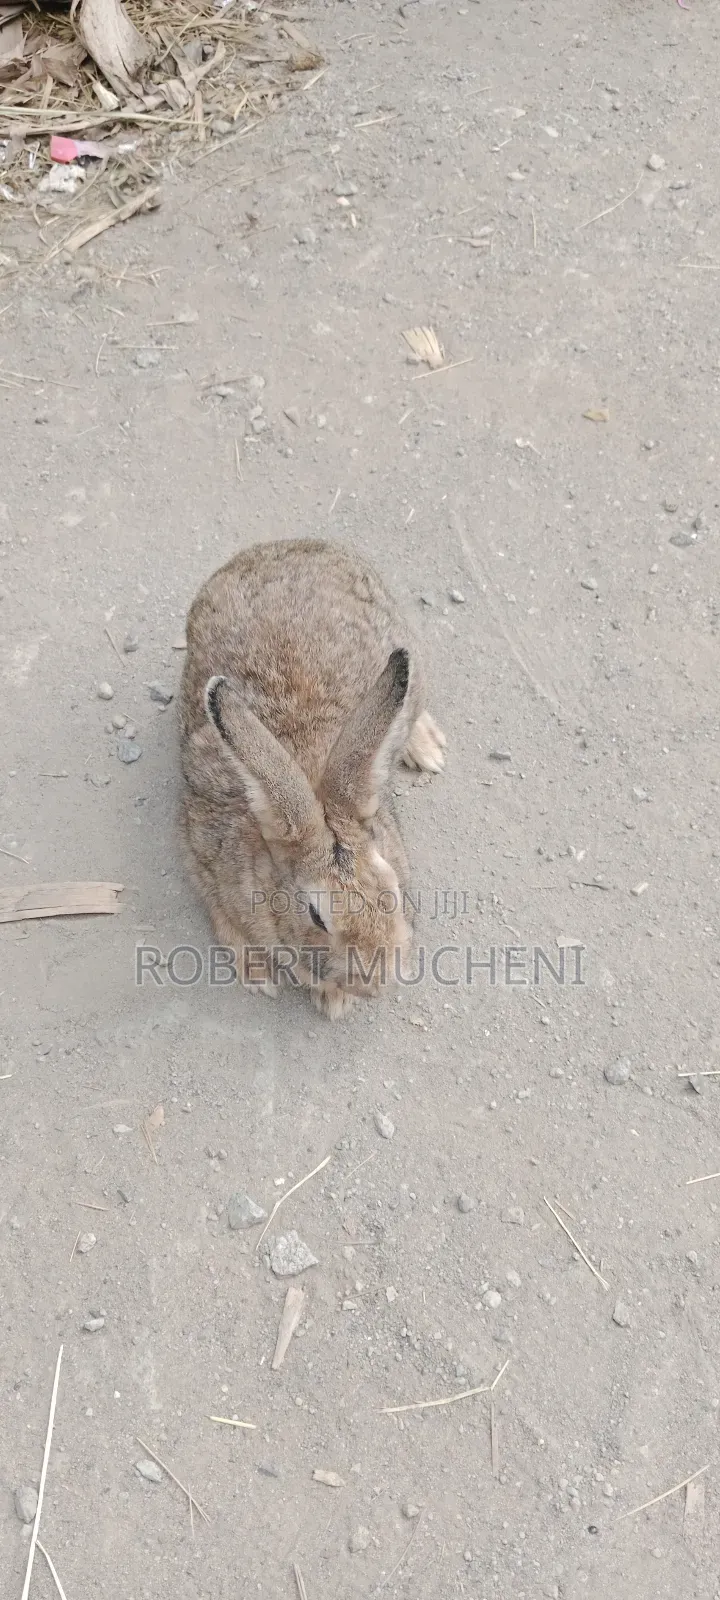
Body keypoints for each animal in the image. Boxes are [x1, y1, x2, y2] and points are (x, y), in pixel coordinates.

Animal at [179, 538, 446, 1018]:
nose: (375, 982)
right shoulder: (199, 853)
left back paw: (427, 748)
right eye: (316, 916)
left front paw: (335, 999)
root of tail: (291, 545)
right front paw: (259, 977)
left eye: (393, 892)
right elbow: (225, 922)